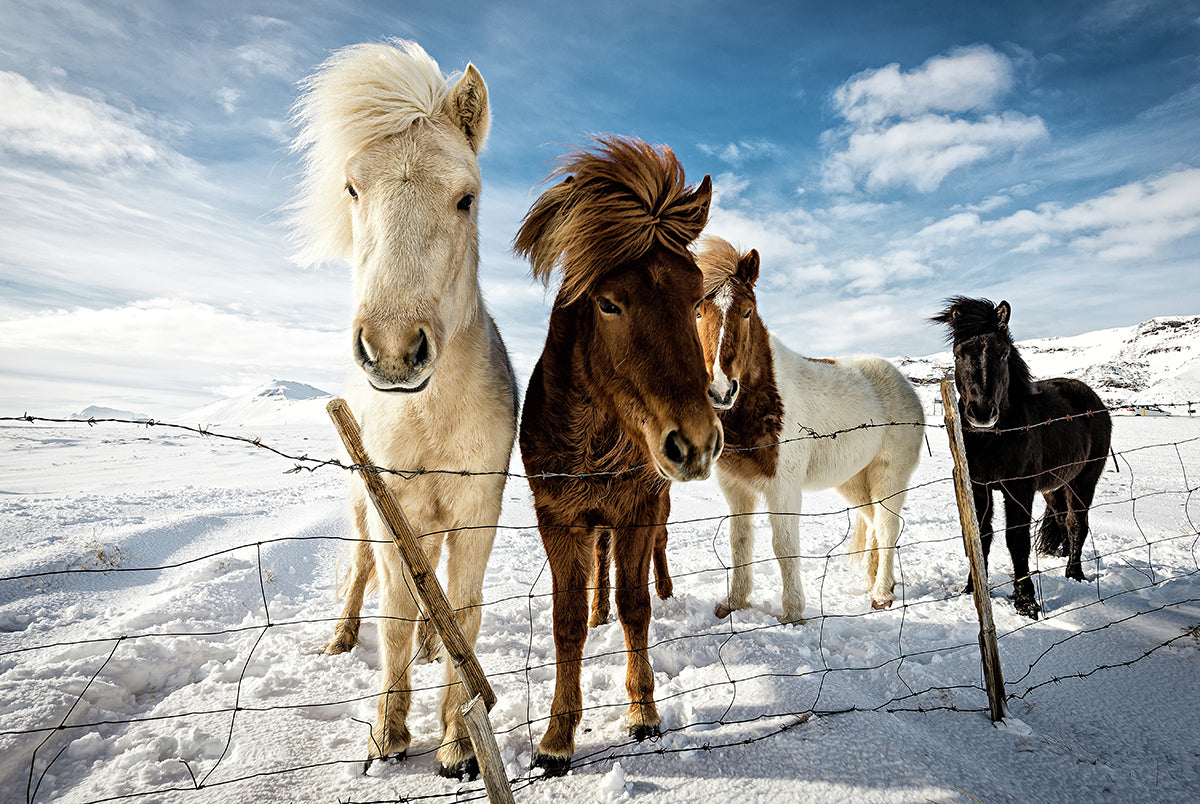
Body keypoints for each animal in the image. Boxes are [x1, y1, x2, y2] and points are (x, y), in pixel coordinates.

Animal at [290, 40, 517, 778]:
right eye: (352, 189)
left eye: (466, 198)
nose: (392, 351)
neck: (430, 417)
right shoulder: (393, 509)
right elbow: (390, 611)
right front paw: (387, 736)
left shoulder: (477, 512)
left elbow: (463, 609)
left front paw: (456, 744)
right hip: (366, 509)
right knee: (365, 574)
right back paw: (340, 640)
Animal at [515, 136, 722, 775]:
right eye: (608, 304)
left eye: (697, 300)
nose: (695, 442)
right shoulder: (558, 519)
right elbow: (566, 622)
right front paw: (557, 738)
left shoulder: (636, 510)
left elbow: (636, 606)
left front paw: (643, 711)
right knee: (599, 572)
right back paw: (597, 609)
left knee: (654, 558)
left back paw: (665, 591)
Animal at [694, 236, 925, 621]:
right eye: (697, 311)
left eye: (747, 311)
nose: (721, 391)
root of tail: (903, 382)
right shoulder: (735, 487)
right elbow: (739, 541)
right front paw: (734, 603)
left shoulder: (783, 488)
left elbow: (784, 545)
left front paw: (793, 614)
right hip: (854, 481)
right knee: (873, 523)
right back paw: (875, 582)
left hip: (889, 477)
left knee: (887, 526)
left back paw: (881, 594)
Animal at [932, 296, 1112, 619]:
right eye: (957, 354)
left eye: (1003, 353)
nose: (981, 412)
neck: (992, 439)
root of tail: (1092, 398)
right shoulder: (978, 488)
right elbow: (981, 537)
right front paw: (972, 589)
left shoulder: (1019, 488)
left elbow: (1016, 540)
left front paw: (1026, 601)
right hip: (1055, 486)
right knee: (1063, 520)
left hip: (1084, 480)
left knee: (1077, 523)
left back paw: (1074, 574)